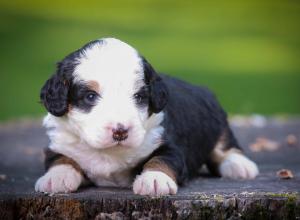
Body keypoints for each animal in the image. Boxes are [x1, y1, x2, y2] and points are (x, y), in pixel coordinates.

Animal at [35, 37, 258, 196]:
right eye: (90, 96)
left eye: (139, 97)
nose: (120, 132)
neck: (109, 153)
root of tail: (201, 88)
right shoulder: (59, 142)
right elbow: (61, 158)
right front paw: (56, 177)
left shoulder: (168, 143)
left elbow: (161, 159)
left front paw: (155, 180)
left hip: (217, 120)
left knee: (224, 145)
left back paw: (239, 166)